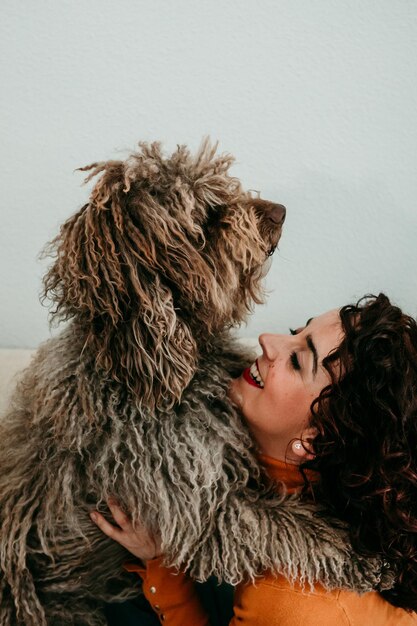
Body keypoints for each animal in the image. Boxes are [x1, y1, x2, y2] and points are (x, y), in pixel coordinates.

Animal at [0, 139, 390, 620]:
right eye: (206, 215)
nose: (280, 210)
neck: (146, 372)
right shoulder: (199, 513)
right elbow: (283, 524)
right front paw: (360, 554)